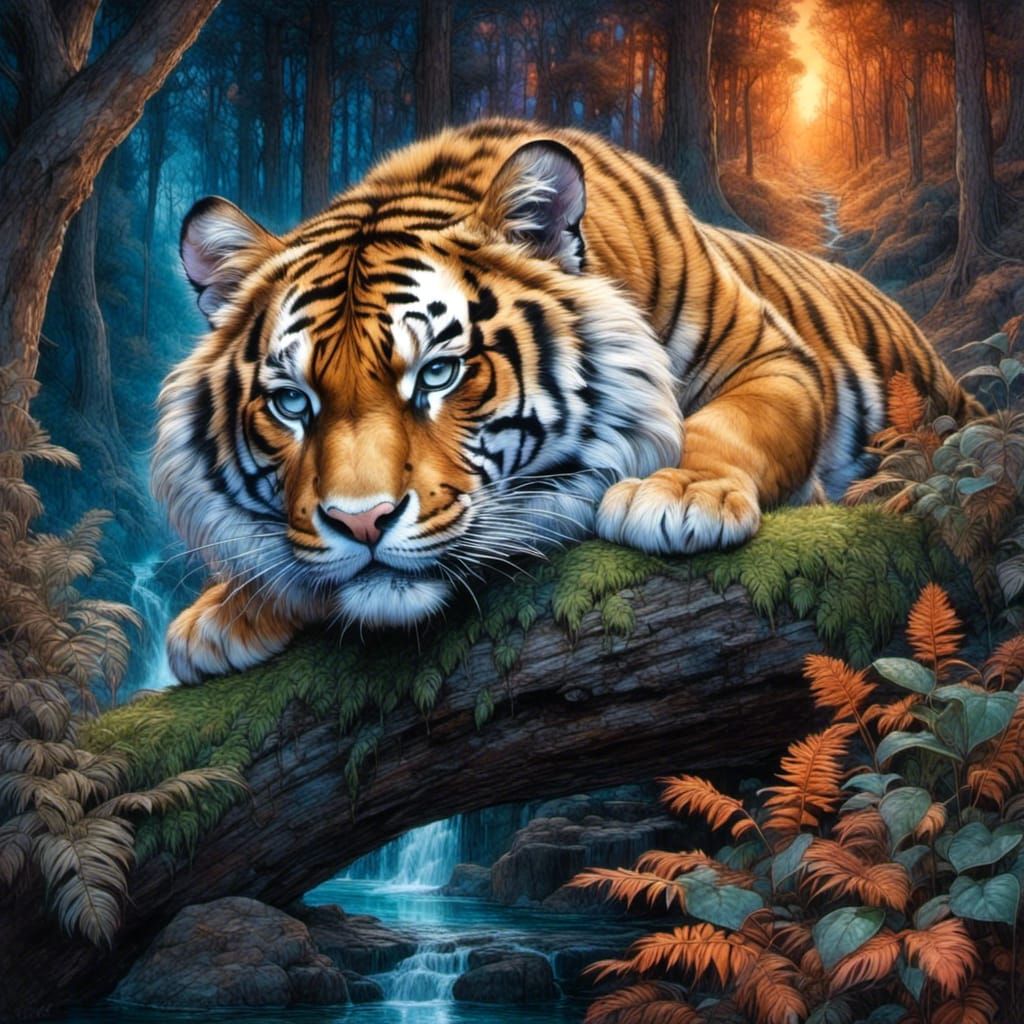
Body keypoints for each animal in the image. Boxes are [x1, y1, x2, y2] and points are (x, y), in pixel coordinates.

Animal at [154, 117, 977, 684]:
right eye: (293, 404)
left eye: (438, 374)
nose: (361, 522)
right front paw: (226, 610)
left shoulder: (772, 357)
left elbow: (730, 428)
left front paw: (676, 492)